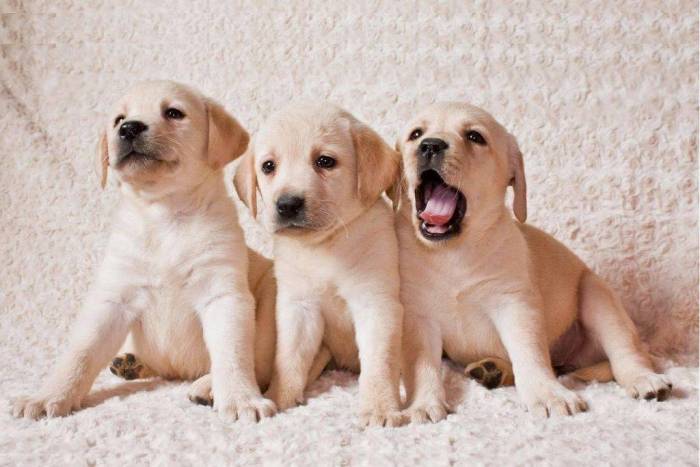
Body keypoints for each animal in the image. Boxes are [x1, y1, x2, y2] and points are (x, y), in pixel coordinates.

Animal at [13, 80, 276, 422]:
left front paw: (241, 399)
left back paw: (207, 387)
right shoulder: (114, 297)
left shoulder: (223, 294)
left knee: (260, 362)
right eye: (118, 119)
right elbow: (81, 352)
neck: (164, 215)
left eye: (174, 113)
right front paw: (50, 395)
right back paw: (132, 364)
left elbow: (233, 354)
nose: (129, 128)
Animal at [234, 102, 405, 427]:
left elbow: (378, 362)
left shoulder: (375, 303)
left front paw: (379, 407)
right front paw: (280, 397)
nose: (287, 204)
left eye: (325, 161)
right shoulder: (298, 307)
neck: (325, 247)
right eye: (268, 166)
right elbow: (288, 360)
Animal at [392, 102, 672, 422]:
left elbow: (530, 354)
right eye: (416, 134)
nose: (430, 145)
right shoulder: (417, 317)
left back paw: (644, 379)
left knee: (626, 351)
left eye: (475, 137)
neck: (452, 252)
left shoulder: (516, 305)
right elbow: (422, 366)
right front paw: (423, 403)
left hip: (598, 298)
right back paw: (493, 370)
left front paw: (547, 394)